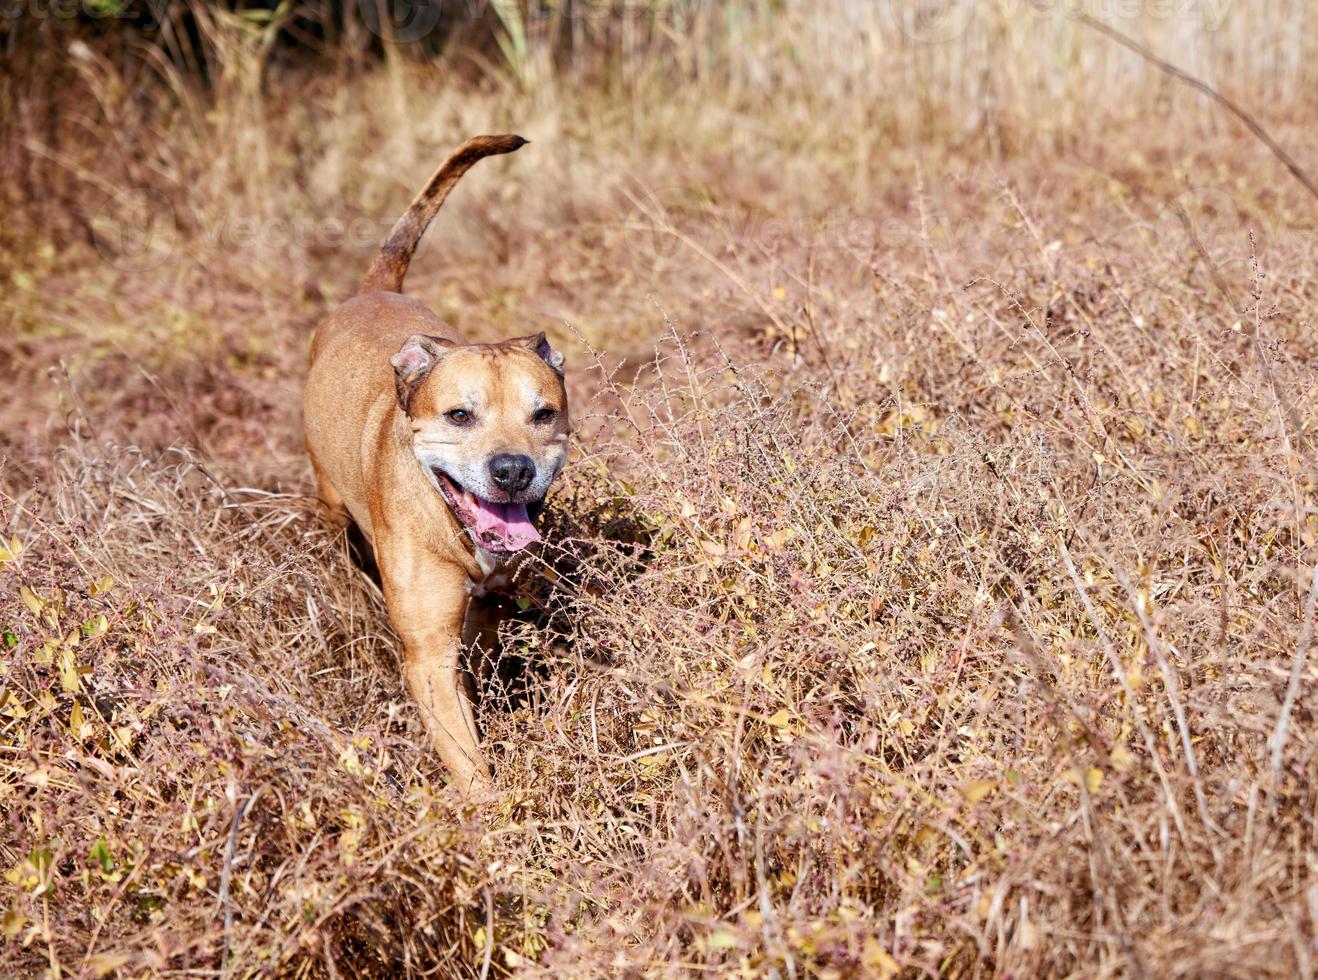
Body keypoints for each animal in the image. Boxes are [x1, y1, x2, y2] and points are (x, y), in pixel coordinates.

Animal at [305, 133, 569, 790]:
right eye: (459, 416)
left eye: (542, 414)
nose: (512, 471)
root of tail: (372, 290)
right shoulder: (429, 656)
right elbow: (469, 764)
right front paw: (495, 810)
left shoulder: (489, 611)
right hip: (329, 504)